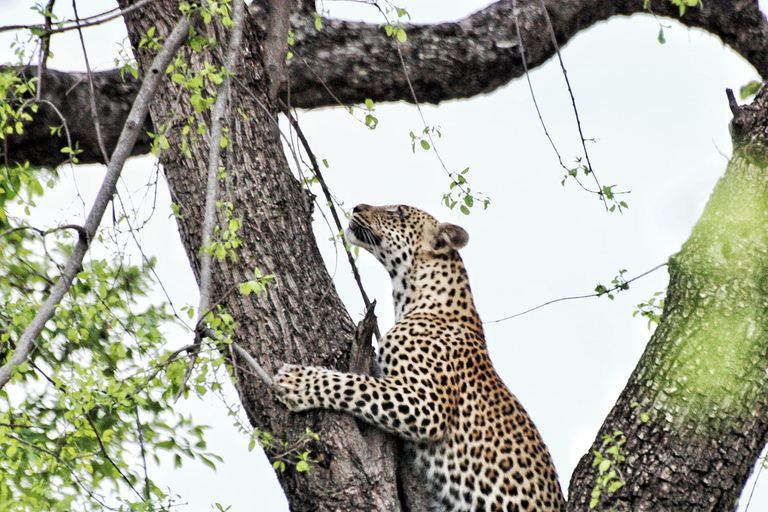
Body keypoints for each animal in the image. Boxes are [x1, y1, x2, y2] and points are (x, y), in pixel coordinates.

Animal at [274, 204, 564, 512]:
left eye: (397, 212)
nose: (357, 207)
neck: (412, 294)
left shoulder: (428, 405)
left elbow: (354, 385)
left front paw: (296, 381)